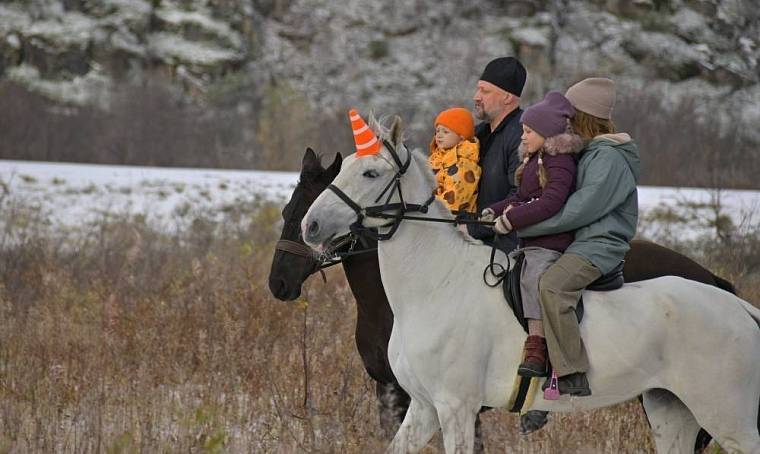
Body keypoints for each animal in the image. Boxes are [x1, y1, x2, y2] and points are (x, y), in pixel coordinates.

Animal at [302, 115, 760, 452]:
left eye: (370, 172)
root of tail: (738, 307)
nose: (311, 225)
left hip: (727, 417)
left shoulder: (456, 408)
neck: (435, 286)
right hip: (671, 411)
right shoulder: (422, 408)